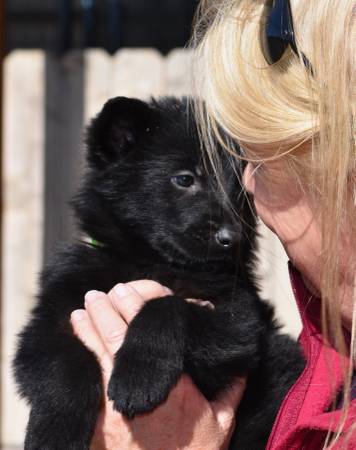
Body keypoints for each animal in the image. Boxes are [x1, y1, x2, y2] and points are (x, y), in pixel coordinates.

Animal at [13, 97, 304, 450]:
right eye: (185, 179)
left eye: (242, 192)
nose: (231, 238)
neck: (151, 262)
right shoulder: (50, 322)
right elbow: (63, 365)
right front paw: (52, 432)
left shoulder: (238, 321)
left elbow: (167, 305)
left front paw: (139, 376)